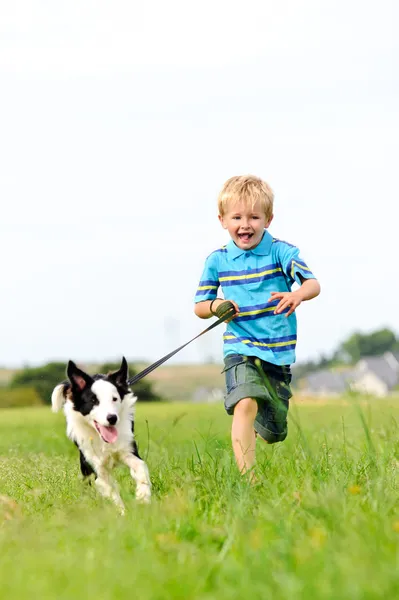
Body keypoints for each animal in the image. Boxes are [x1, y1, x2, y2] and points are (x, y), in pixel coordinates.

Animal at [51, 358, 152, 512]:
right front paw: (123, 512)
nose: (112, 418)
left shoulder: (127, 449)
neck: (102, 439)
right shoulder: (95, 465)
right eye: (93, 401)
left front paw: (143, 497)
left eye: (115, 399)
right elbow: (110, 489)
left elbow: (141, 467)